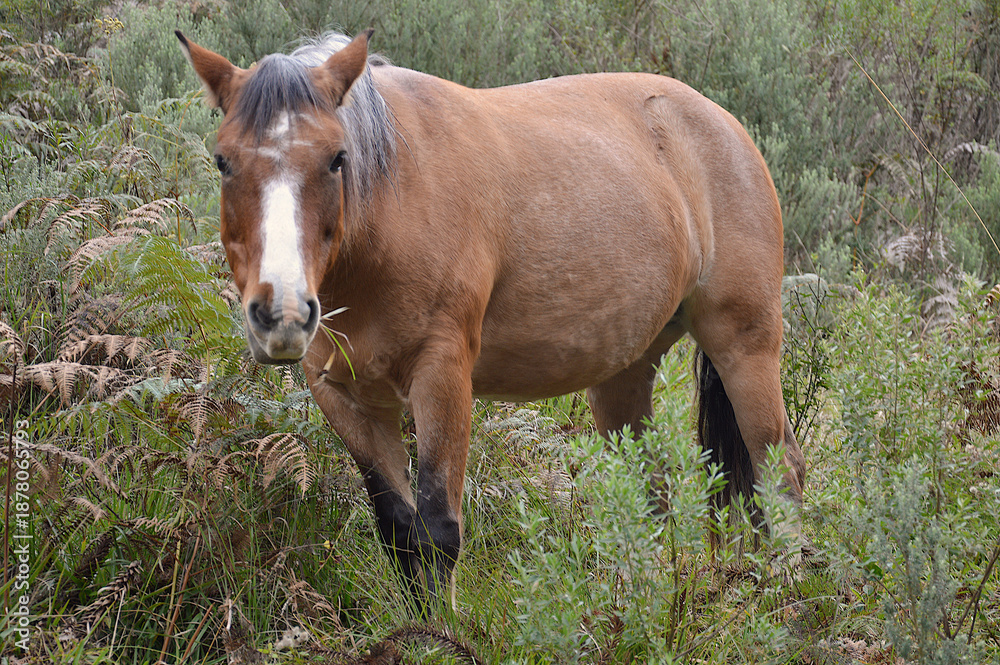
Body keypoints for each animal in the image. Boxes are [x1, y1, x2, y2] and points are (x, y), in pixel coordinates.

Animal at [176, 29, 806, 606]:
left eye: (337, 158)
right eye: (223, 161)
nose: (281, 311)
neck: (393, 205)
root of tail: (721, 122)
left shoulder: (442, 377)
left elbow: (438, 532)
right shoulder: (345, 398)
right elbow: (400, 533)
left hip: (745, 348)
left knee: (781, 470)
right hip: (624, 372)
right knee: (649, 492)